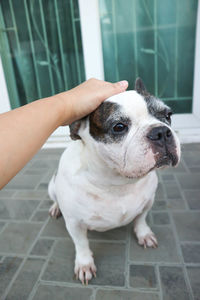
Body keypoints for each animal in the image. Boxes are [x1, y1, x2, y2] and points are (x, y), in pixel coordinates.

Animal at [47, 77, 180, 284]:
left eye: (168, 115)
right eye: (119, 127)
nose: (161, 132)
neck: (117, 183)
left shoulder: (148, 202)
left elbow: (141, 219)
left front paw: (144, 234)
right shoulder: (75, 223)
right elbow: (81, 244)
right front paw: (84, 264)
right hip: (51, 187)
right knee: (54, 198)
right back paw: (55, 207)